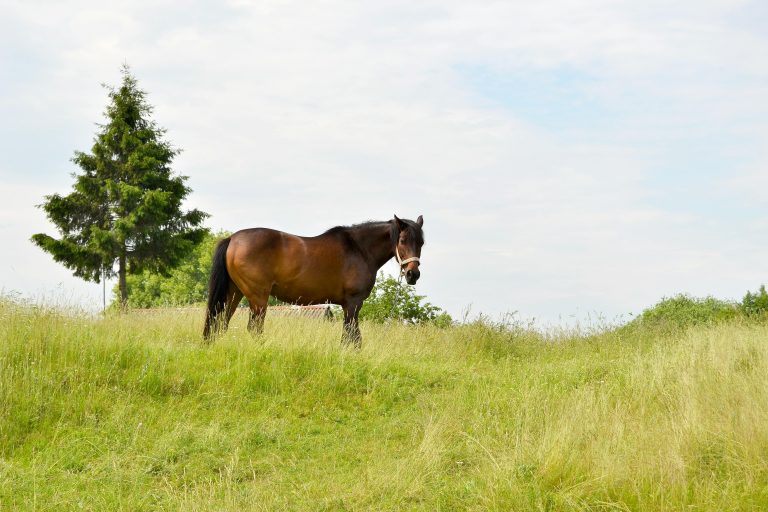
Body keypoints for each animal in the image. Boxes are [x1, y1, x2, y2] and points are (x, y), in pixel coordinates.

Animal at [203, 215, 424, 346]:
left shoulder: (348, 306)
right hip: (258, 297)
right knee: (254, 328)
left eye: (422, 242)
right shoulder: (353, 303)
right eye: (402, 240)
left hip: (234, 293)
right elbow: (352, 337)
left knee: (220, 323)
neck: (359, 249)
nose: (413, 274)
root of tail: (232, 239)